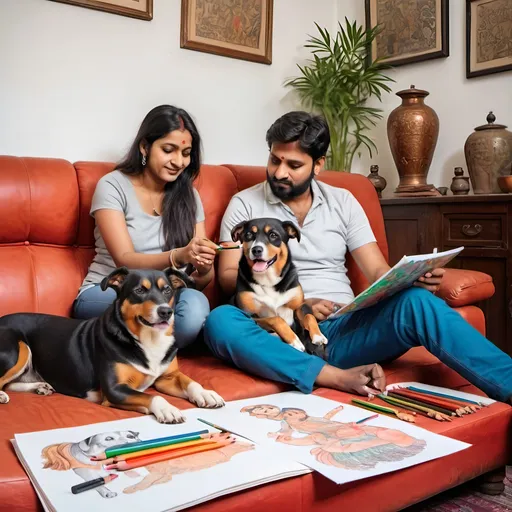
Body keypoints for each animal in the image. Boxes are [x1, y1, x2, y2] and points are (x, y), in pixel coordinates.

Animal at [0, 266, 224, 422]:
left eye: (167, 289)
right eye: (139, 291)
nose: (165, 312)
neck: (148, 338)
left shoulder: (167, 377)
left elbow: (190, 381)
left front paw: (206, 394)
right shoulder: (115, 389)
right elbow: (151, 397)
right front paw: (168, 408)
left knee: (11, 383)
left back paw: (40, 386)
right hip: (19, 348)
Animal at [231, 216, 328, 352]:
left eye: (273, 235)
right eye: (249, 235)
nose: (256, 250)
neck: (268, 280)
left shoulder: (299, 305)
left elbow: (309, 316)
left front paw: (318, 335)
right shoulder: (249, 314)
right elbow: (275, 319)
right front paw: (294, 340)